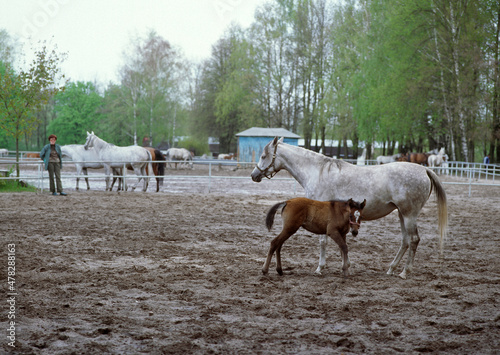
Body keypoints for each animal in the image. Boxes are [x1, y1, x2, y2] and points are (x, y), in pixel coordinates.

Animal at [252, 138, 448, 280]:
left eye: (263, 156)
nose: (254, 175)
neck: (318, 171)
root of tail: (425, 171)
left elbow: (323, 242)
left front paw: (320, 268)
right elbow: (340, 245)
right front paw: (344, 266)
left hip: (409, 215)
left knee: (414, 240)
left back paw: (404, 272)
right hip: (401, 214)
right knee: (405, 241)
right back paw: (391, 269)